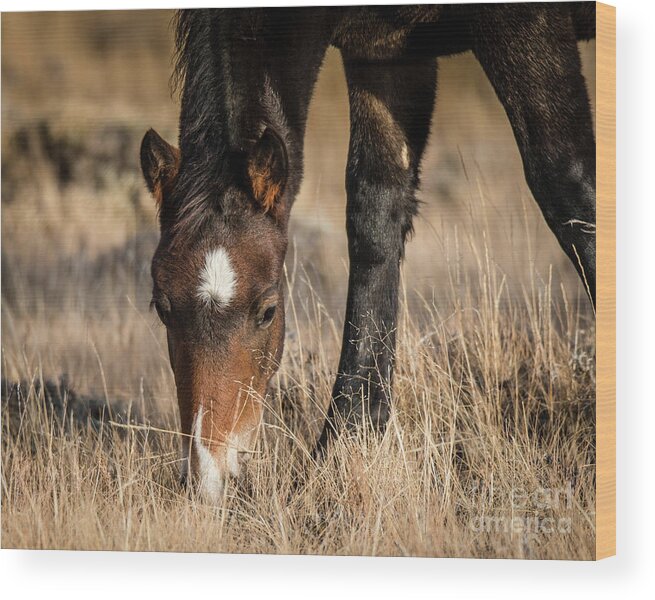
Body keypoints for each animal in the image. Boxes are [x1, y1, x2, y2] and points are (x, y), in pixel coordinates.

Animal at [141, 4, 596, 502]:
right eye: (162, 308)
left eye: (268, 310)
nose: (206, 477)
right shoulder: (386, 54)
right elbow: (375, 214)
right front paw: (344, 447)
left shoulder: (524, 24)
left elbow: (569, 185)